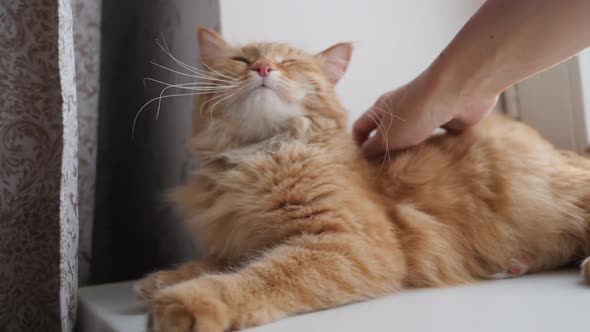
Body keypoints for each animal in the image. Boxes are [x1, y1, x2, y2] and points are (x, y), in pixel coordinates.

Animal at [135, 27, 590, 330]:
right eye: (241, 61)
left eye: (289, 63)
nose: (263, 67)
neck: (260, 154)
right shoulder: (242, 237)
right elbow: (215, 261)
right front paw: (163, 279)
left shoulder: (346, 242)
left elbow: (259, 275)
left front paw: (188, 299)